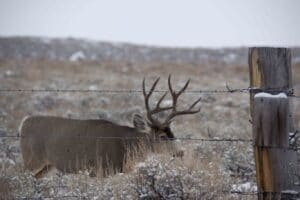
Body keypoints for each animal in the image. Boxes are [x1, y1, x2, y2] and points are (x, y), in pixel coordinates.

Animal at [19, 76, 200, 177]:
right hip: (31, 159)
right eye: (162, 137)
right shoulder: (101, 169)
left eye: (173, 134)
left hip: (47, 165)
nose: (180, 152)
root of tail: (23, 123)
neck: (126, 146)